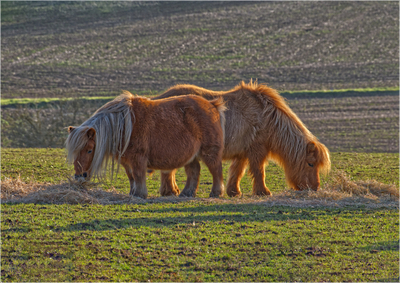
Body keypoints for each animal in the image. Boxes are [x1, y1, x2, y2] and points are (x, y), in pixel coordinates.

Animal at [67, 91, 227, 200]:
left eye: (89, 150)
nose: (79, 176)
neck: (124, 126)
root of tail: (212, 105)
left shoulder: (138, 158)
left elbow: (138, 175)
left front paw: (140, 194)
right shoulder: (126, 161)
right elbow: (131, 177)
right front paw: (132, 193)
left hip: (209, 152)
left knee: (216, 170)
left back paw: (216, 193)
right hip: (191, 156)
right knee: (194, 171)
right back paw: (186, 193)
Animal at [152, 80, 330, 197]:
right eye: (311, 164)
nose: (315, 187)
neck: (266, 116)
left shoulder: (243, 152)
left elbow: (237, 171)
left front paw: (233, 191)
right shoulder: (257, 150)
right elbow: (259, 171)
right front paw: (263, 192)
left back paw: (172, 191)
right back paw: (170, 191)